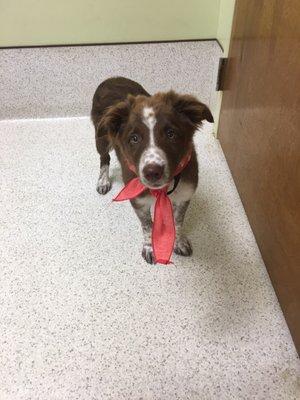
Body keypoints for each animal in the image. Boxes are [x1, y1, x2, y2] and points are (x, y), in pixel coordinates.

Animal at [91, 77, 213, 266]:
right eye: (134, 138)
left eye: (171, 134)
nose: (152, 172)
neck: (163, 189)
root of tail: (111, 78)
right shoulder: (138, 200)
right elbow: (147, 226)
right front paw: (149, 247)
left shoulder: (184, 194)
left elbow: (178, 221)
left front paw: (178, 242)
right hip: (101, 137)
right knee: (104, 159)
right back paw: (103, 181)